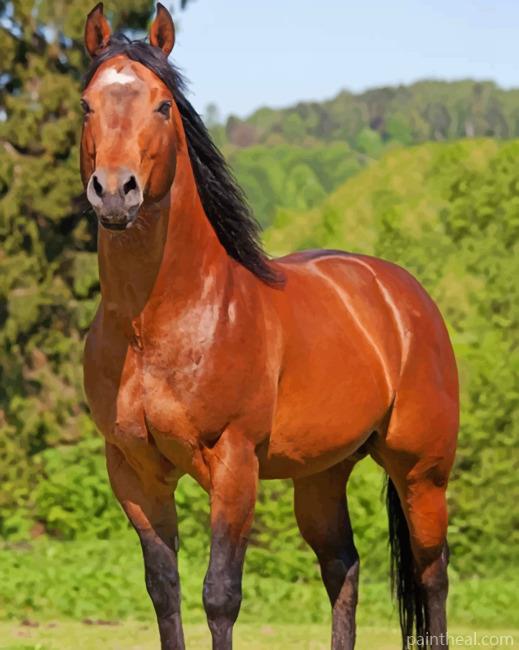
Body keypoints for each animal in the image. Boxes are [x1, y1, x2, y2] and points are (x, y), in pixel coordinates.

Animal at [80, 4, 458, 649]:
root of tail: (406, 296)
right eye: (86, 104)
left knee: (432, 576)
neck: (154, 326)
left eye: (163, 105)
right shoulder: (133, 472)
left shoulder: (235, 466)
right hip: (323, 476)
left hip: (422, 473)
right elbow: (164, 591)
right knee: (344, 568)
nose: (114, 191)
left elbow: (220, 595)